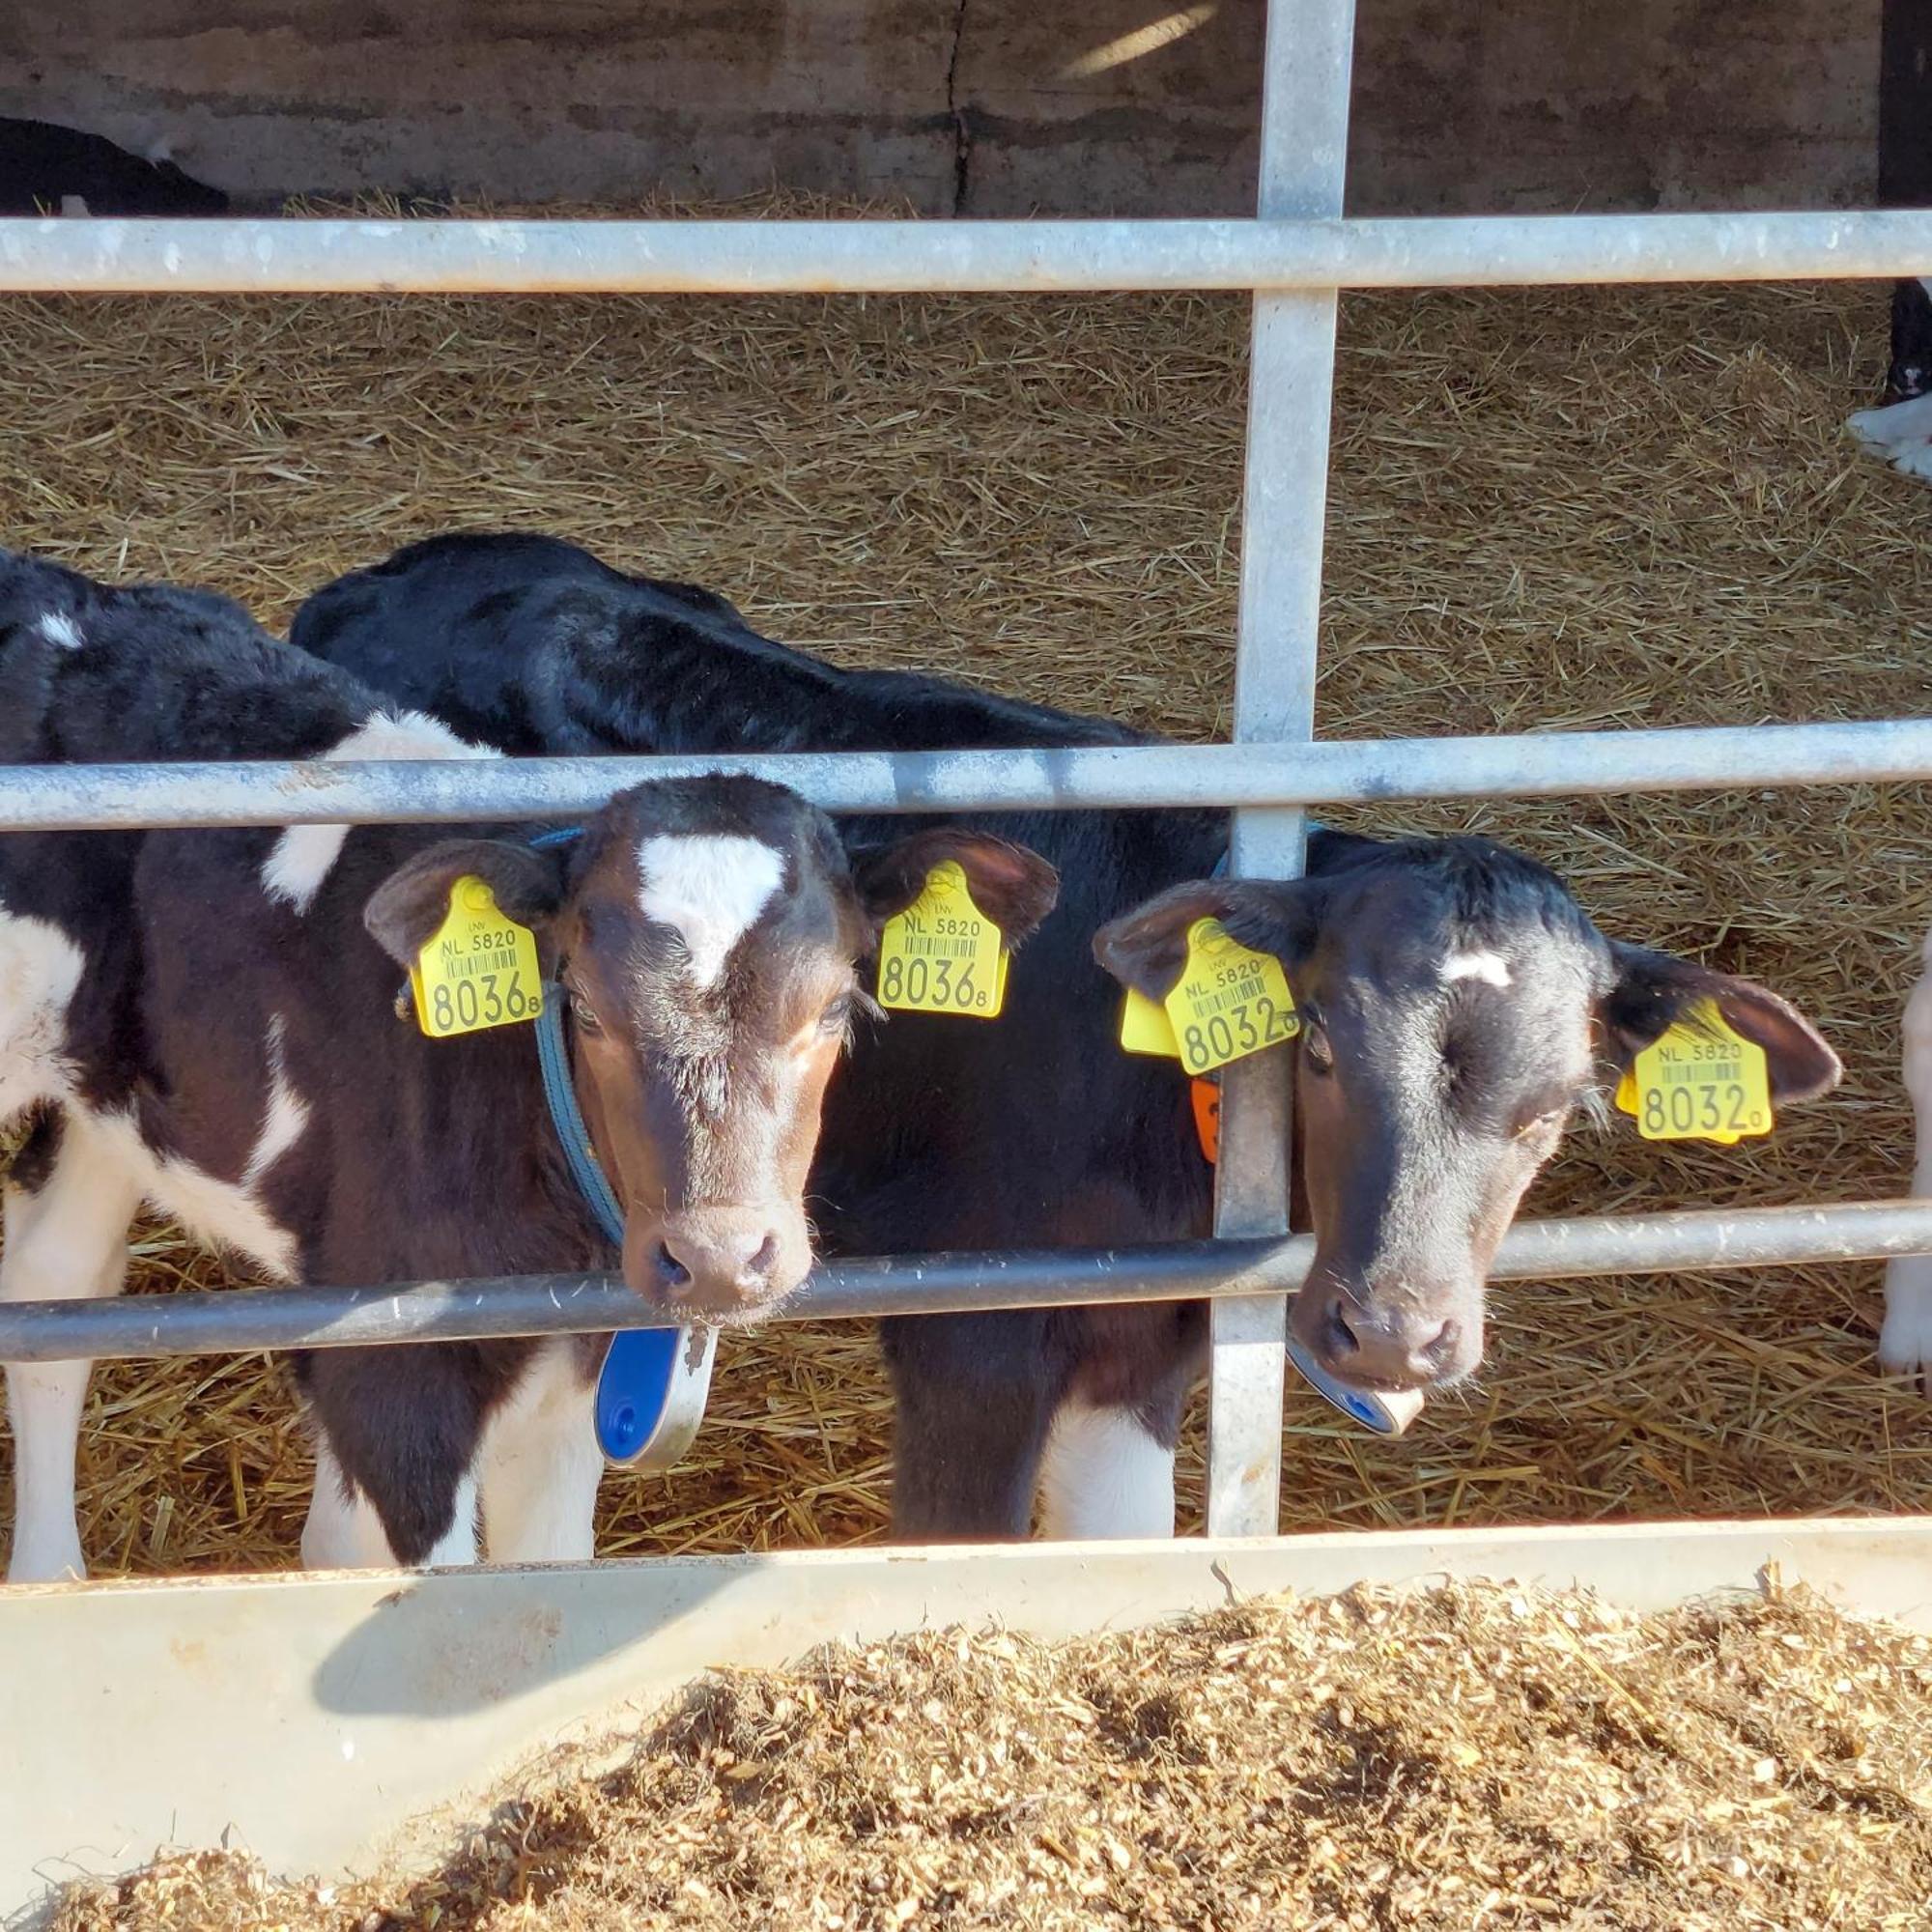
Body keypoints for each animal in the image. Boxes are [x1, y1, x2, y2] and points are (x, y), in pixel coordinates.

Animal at [0, 553, 1059, 1577]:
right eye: (581, 1003)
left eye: (836, 1004)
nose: (719, 1257)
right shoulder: (387, 1372)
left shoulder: (564, 1383)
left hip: (111, 1091)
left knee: (58, 1280)